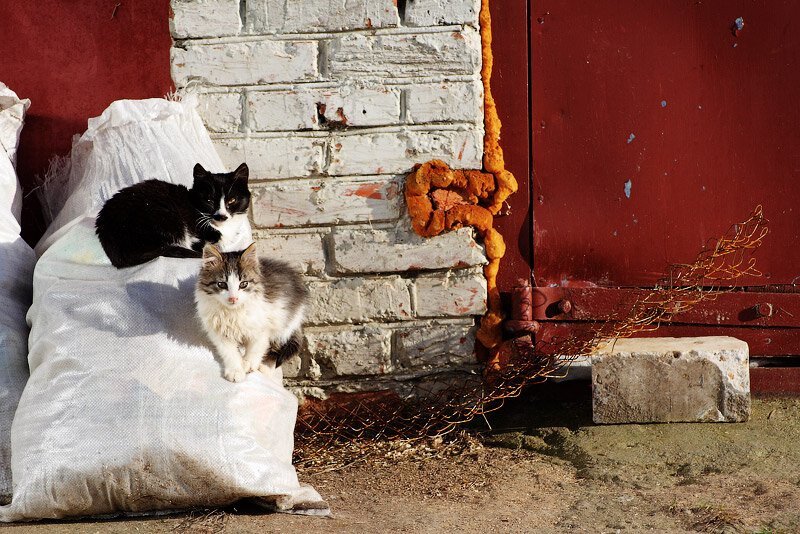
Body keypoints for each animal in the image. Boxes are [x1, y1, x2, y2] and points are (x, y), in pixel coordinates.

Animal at [194, 243, 306, 386]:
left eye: (243, 284)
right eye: (221, 284)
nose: (233, 298)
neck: (233, 312)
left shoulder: (263, 325)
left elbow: (256, 348)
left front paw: (248, 364)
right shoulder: (219, 332)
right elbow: (229, 352)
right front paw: (236, 370)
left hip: (285, 323)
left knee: (278, 347)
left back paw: (265, 368)